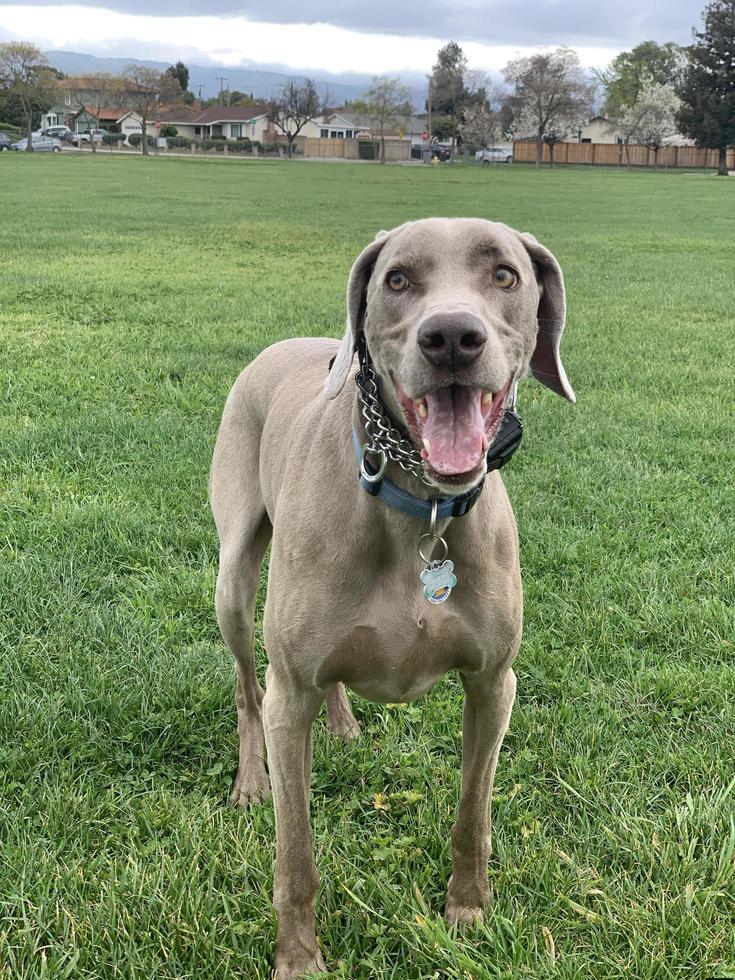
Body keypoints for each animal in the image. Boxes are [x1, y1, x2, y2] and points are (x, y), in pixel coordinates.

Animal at [208, 218, 576, 976]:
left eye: (504, 274)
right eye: (398, 279)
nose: (452, 338)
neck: (420, 507)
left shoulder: (494, 682)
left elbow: (473, 813)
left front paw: (467, 912)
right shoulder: (289, 690)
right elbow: (295, 856)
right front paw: (298, 959)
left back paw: (344, 725)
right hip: (234, 578)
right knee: (245, 687)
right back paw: (250, 780)